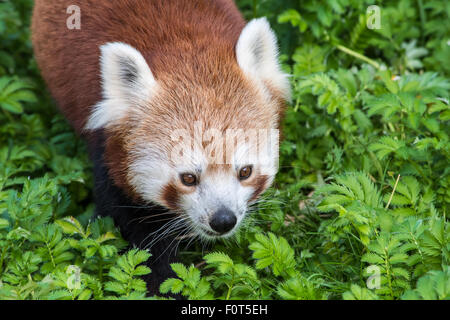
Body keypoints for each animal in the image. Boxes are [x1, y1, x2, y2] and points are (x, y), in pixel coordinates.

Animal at [32, 0, 292, 296]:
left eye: (245, 172)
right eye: (188, 178)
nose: (223, 220)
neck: (183, 48)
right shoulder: (109, 154)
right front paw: (159, 285)